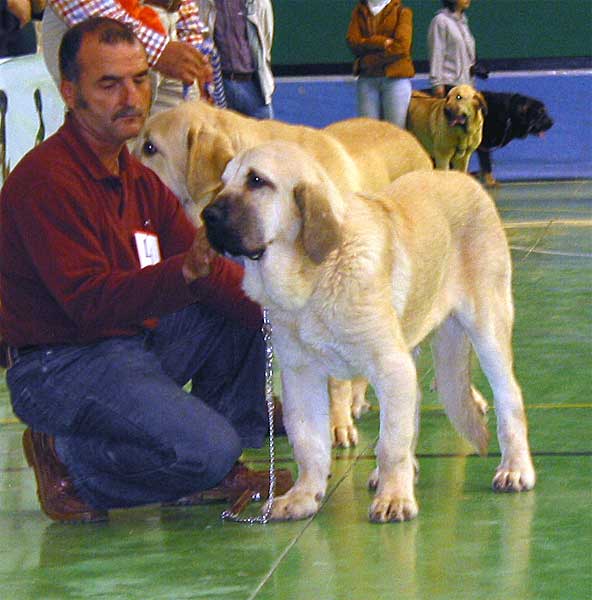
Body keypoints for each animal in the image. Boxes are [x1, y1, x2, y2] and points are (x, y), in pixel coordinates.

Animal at [202, 139, 536, 520]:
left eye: (257, 181)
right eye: (223, 182)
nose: (206, 216)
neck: (315, 278)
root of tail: (464, 179)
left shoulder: (389, 365)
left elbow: (391, 443)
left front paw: (395, 499)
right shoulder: (302, 375)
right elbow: (309, 443)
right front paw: (304, 497)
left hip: (486, 329)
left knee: (509, 398)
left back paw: (515, 469)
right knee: (413, 407)